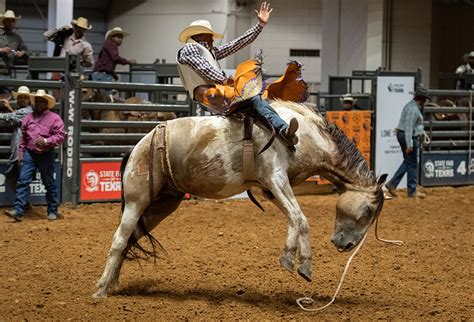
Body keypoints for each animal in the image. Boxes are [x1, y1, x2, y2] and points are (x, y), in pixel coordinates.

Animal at [91, 100, 386, 300]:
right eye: (368, 210)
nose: (345, 244)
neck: (304, 135)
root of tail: (139, 145)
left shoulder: (272, 187)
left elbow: (294, 218)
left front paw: (288, 258)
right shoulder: (276, 178)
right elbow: (301, 218)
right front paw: (304, 265)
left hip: (163, 203)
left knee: (131, 237)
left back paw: (113, 283)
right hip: (137, 200)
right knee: (119, 239)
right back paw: (101, 290)